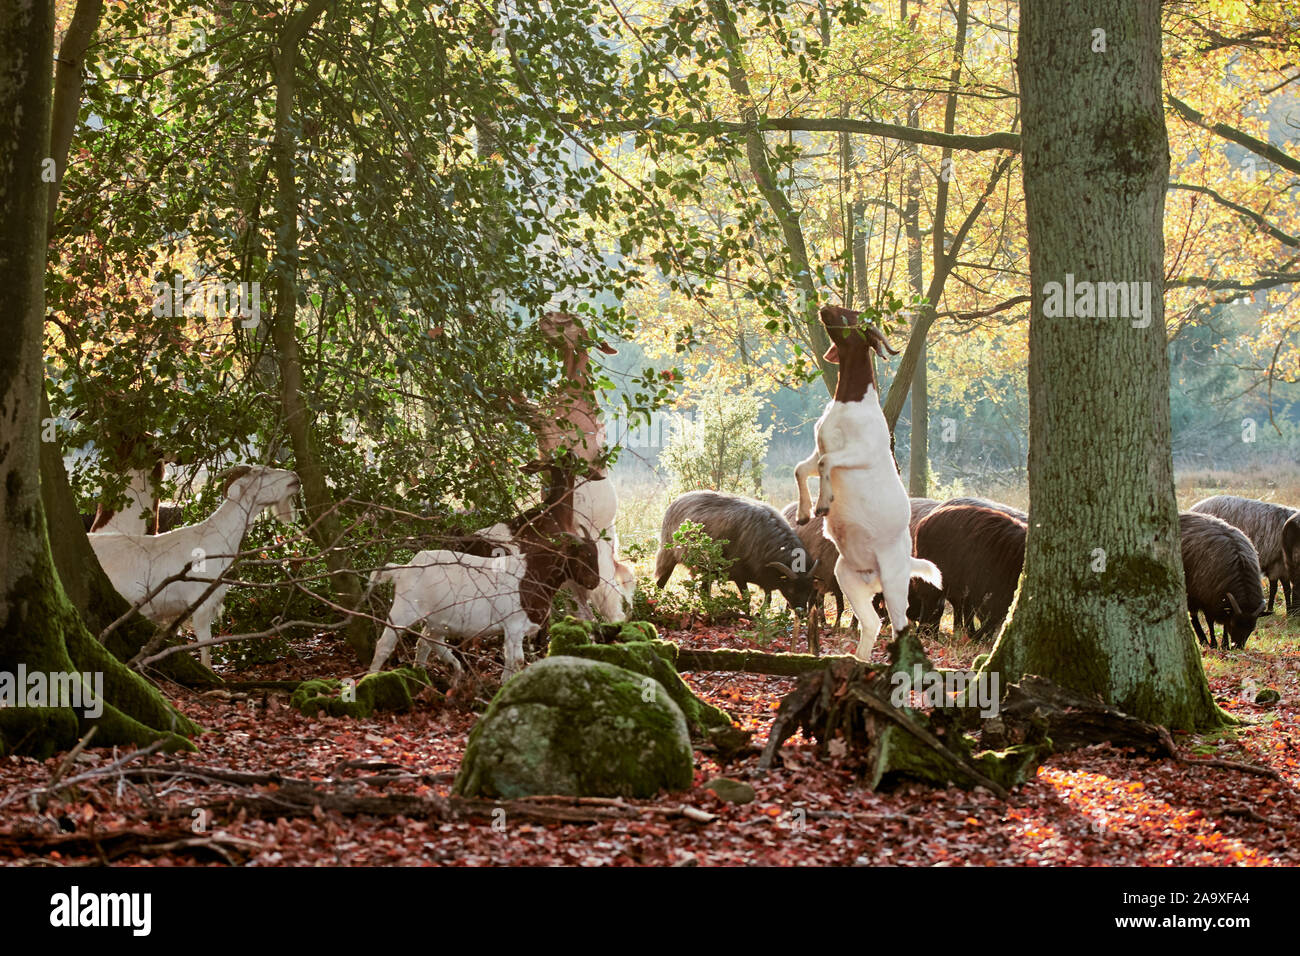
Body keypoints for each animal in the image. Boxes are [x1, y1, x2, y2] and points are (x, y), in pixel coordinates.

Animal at [369, 530, 600, 681]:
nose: (595, 582)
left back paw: (438, 671)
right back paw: (370, 676)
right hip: (404, 610)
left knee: (427, 641)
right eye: (583, 555)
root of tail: (403, 569)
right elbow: (517, 661)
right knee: (385, 644)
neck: (533, 575)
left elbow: (511, 662)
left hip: (437, 619)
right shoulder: (513, 625)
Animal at [1185, 509, 1263, 650]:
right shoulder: (1208, 600)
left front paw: (1225, 645)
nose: (1238, 647)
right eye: (1235, 624)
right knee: (1193, 616)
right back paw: (1203, 641)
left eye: (1252, 628)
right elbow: (1211, 622)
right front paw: (1214, 644)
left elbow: (1225, 623)